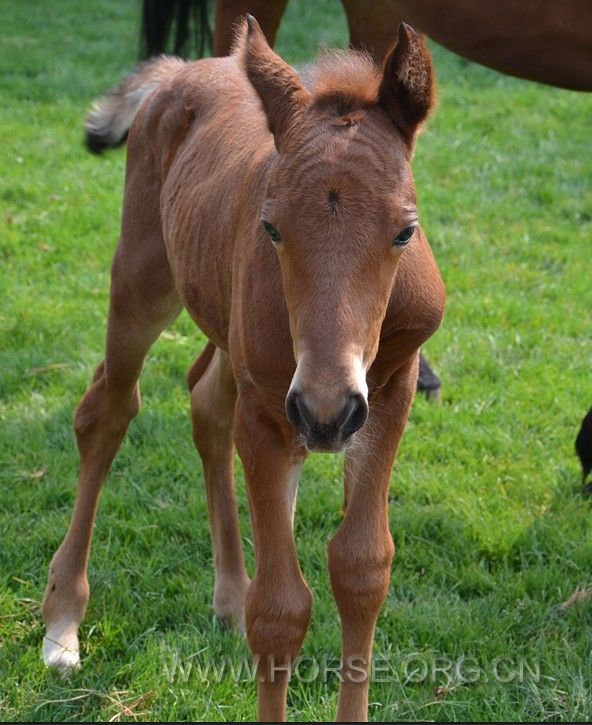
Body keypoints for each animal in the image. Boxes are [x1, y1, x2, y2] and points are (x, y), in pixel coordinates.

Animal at [42, 17, 444, 720]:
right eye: (272, 227)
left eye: (405, 231)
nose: (326, 412)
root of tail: (182, 69)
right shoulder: (270, 412)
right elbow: (280, 609)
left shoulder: (389, 393)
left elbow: (362, 567)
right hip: (144, 276)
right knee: (108, 409)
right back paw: (64, 620)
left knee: (205, 400)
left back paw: (228, 594)